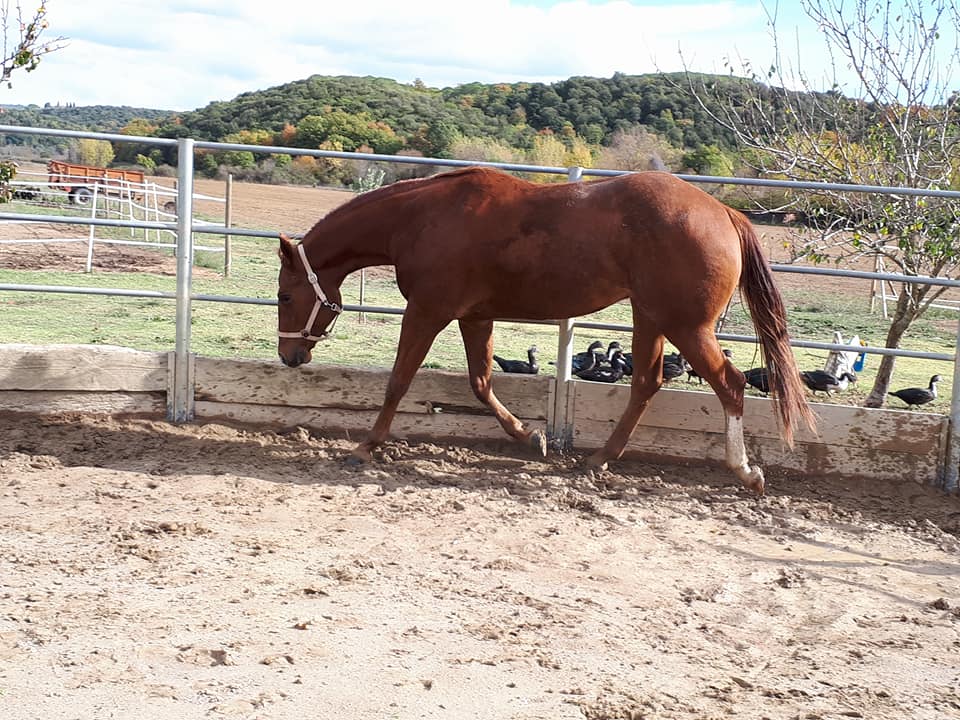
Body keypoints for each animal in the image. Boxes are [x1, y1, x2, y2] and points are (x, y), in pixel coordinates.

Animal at [277, 166, 815, 495]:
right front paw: (528, 436)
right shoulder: (475, 316)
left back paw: (745, 471)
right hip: (651, 317)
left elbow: (399, 382)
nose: (289, 357)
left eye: (283, 296)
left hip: (686, 324)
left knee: (731, 383)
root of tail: (724, 212)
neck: (424, 218)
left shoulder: (428, 312)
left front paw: (365, 447)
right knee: (646, 382)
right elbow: (480, 382)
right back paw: (599, 459)